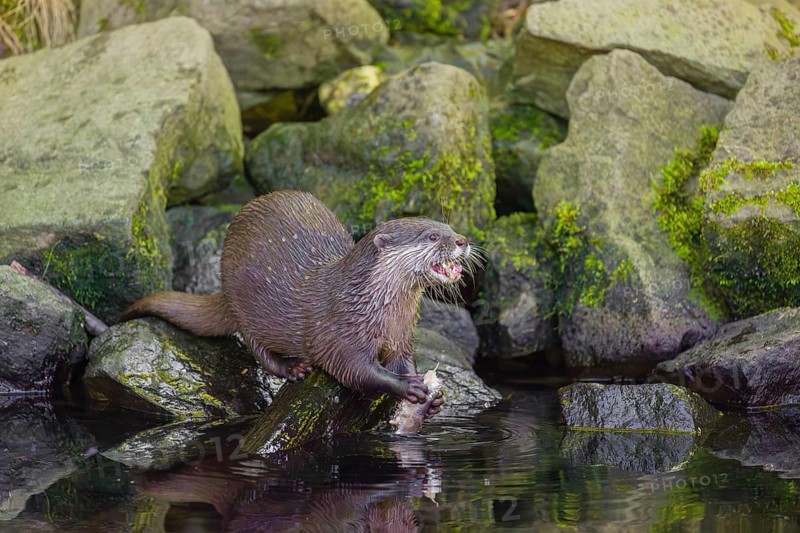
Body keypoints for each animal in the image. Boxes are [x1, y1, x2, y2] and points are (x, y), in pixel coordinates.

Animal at [122, 191, 473, 410]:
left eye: (448, 226)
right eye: (431, 236)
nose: (463, 240)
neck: (371, 306)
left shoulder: (401, 334)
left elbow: (402, 360)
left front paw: (430, 394)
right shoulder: (341, 334)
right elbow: (357, 372)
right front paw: (407, 387)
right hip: (243, 303)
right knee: (256, 347)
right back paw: (292, 369)